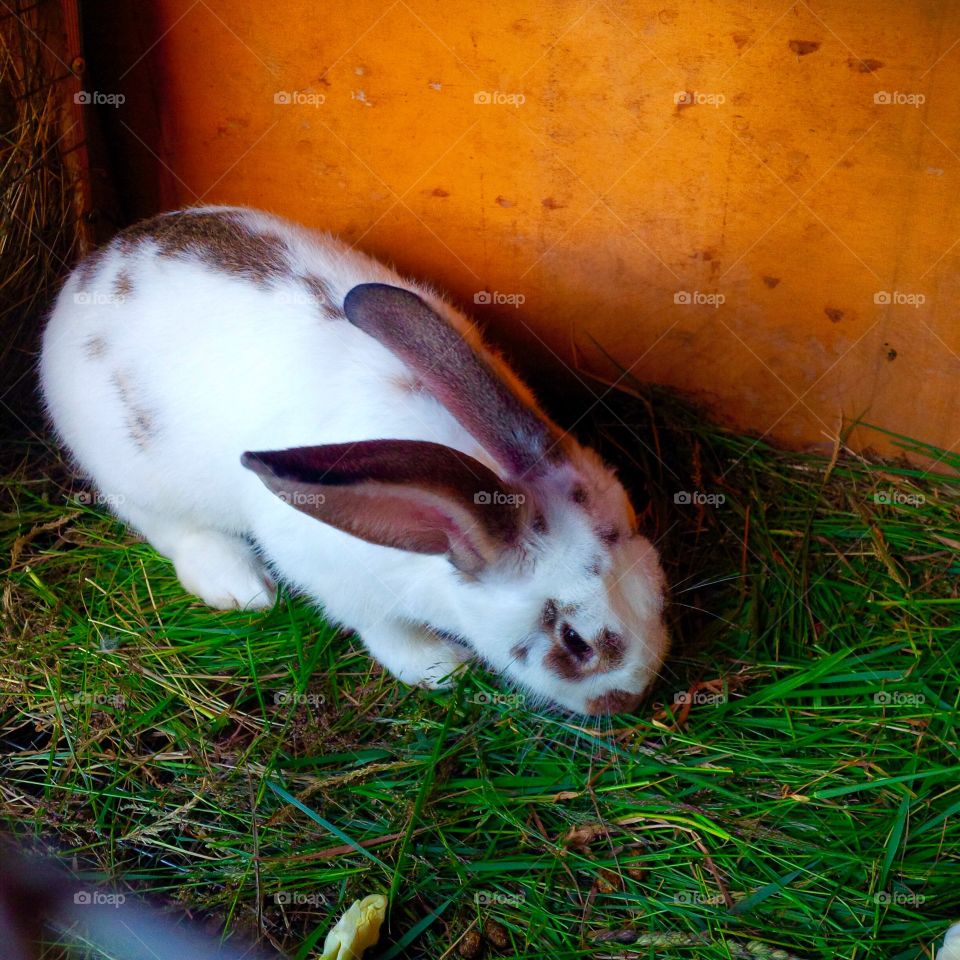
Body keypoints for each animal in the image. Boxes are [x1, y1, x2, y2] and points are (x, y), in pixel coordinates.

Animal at [40, 205, 669, 715]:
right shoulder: (340, 582)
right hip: (131, 476)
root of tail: (87, 273)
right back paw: (241, 585)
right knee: (168, 528)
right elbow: (384, 631)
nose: (633, 697)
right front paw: (441, 668)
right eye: (575, 643)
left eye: (655, 577)